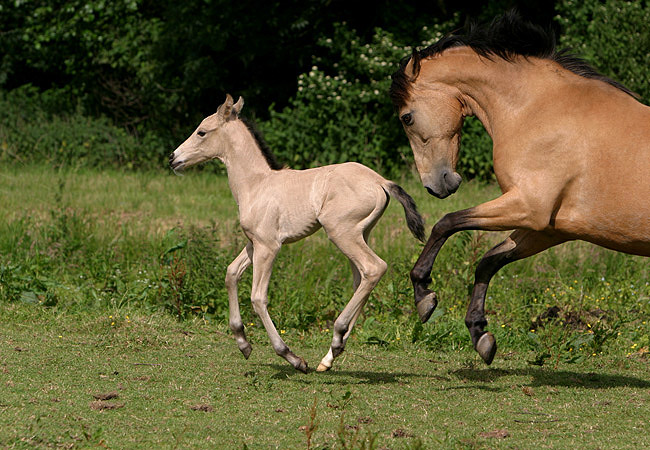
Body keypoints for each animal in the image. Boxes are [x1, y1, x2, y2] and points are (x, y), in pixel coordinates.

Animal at [167, 95, 422, 372]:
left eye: (201, 132)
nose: (172, 158)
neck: (256, 184)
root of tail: (381, 182)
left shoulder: (269, 247)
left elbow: (258, 297)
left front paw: (291, 356)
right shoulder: (254, 243)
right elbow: (231, 273)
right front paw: (243, 342)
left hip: (341, 233)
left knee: (374, 268)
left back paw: (336, 336)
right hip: (360, 234)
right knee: (361, 278)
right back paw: (331, 354)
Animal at [390, 13, 648, 366]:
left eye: (407, 117)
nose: (436, 185)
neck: (536, 109)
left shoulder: (527, 206)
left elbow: (447, 222)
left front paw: (423, 295)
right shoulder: (548, 228)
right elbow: (488, 261)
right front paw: (480, 335)